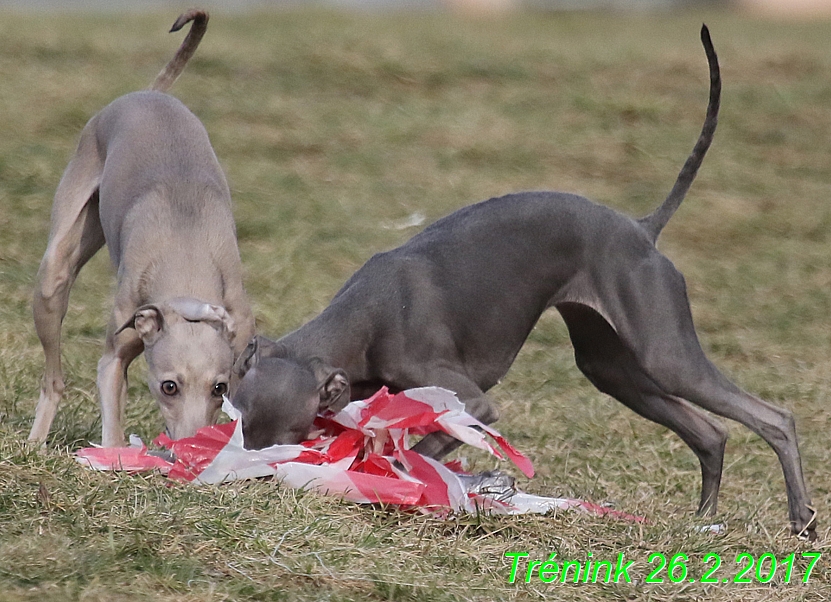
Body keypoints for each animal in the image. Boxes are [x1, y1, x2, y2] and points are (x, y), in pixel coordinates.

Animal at [30, 9, 254, 448]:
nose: (188, 445)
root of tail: (147, 93)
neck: (186, 253)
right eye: (169, 386)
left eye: (218, 388)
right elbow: (113, 424)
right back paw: (35, 442)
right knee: (53, 379)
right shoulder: (115, 353)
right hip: (54, 274)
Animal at [232, 25, 812, 536]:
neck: (365, 317)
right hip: (611, 366)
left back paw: (801, 519)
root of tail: (642, 229)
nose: (250, 483)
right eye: (241, 425)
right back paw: (701, 521)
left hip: (664, 353)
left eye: (291, 435)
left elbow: (421, 452)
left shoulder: (474, 404)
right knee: (710, 432)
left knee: (773, 417)